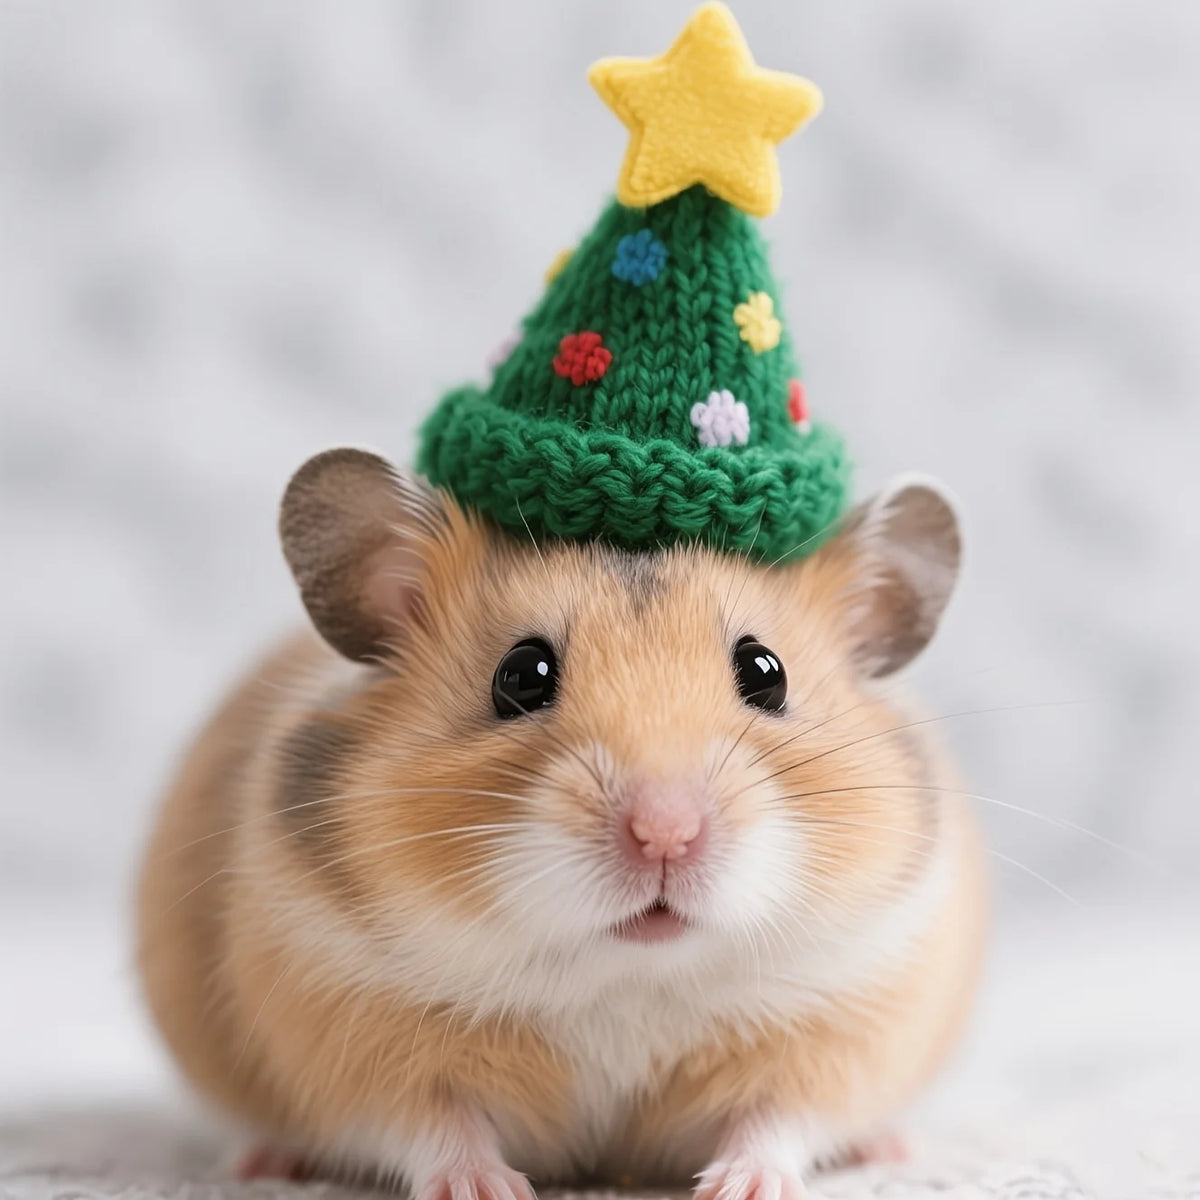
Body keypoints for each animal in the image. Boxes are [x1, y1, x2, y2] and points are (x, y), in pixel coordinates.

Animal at [136, 447, 985, 1198]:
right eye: (521, 676)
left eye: (765, 674)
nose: (665, 834)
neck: (622, 977)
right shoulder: (347, 1036)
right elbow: (432, 1124)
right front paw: (485, 1190)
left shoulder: (844, 1023)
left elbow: (779, 1119)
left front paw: (741, 1189)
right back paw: (263, 1161)